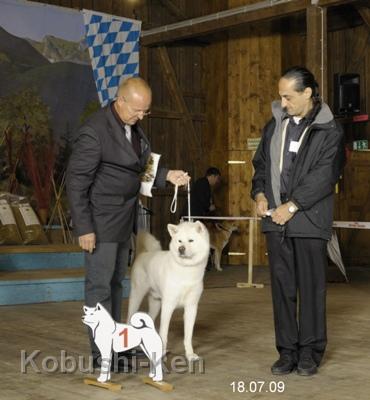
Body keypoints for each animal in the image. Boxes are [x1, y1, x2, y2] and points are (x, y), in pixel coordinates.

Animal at [127, 220, 210, 360]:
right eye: (179, 241)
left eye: (191, 240)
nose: (181, 249)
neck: (186, 270)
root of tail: (142, 254)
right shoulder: (168, 306)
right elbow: (163, 333)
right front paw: (161, 355)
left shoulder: (191, 308)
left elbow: (188, 336)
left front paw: (190, 355)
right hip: (136, 297)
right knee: (128, 320)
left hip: (156, 303)